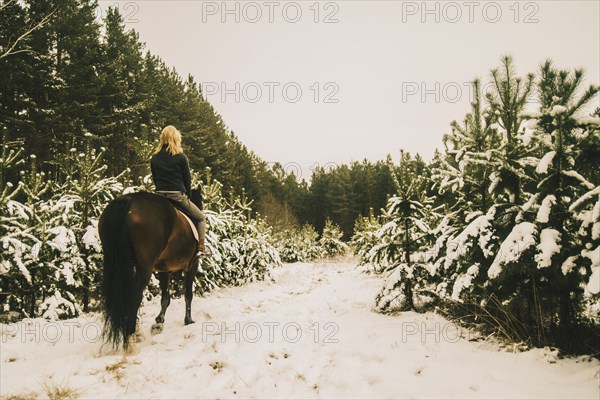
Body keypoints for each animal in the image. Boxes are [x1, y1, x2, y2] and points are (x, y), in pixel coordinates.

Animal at [97, 189, 203, 348]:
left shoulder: (165, 270)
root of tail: (128, 201)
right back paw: (131, 338)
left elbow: (165, 298)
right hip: (144, 268)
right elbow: (188, 295)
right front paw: (188, 320)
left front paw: (159, 323)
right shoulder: (192, 266)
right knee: (135, 295)